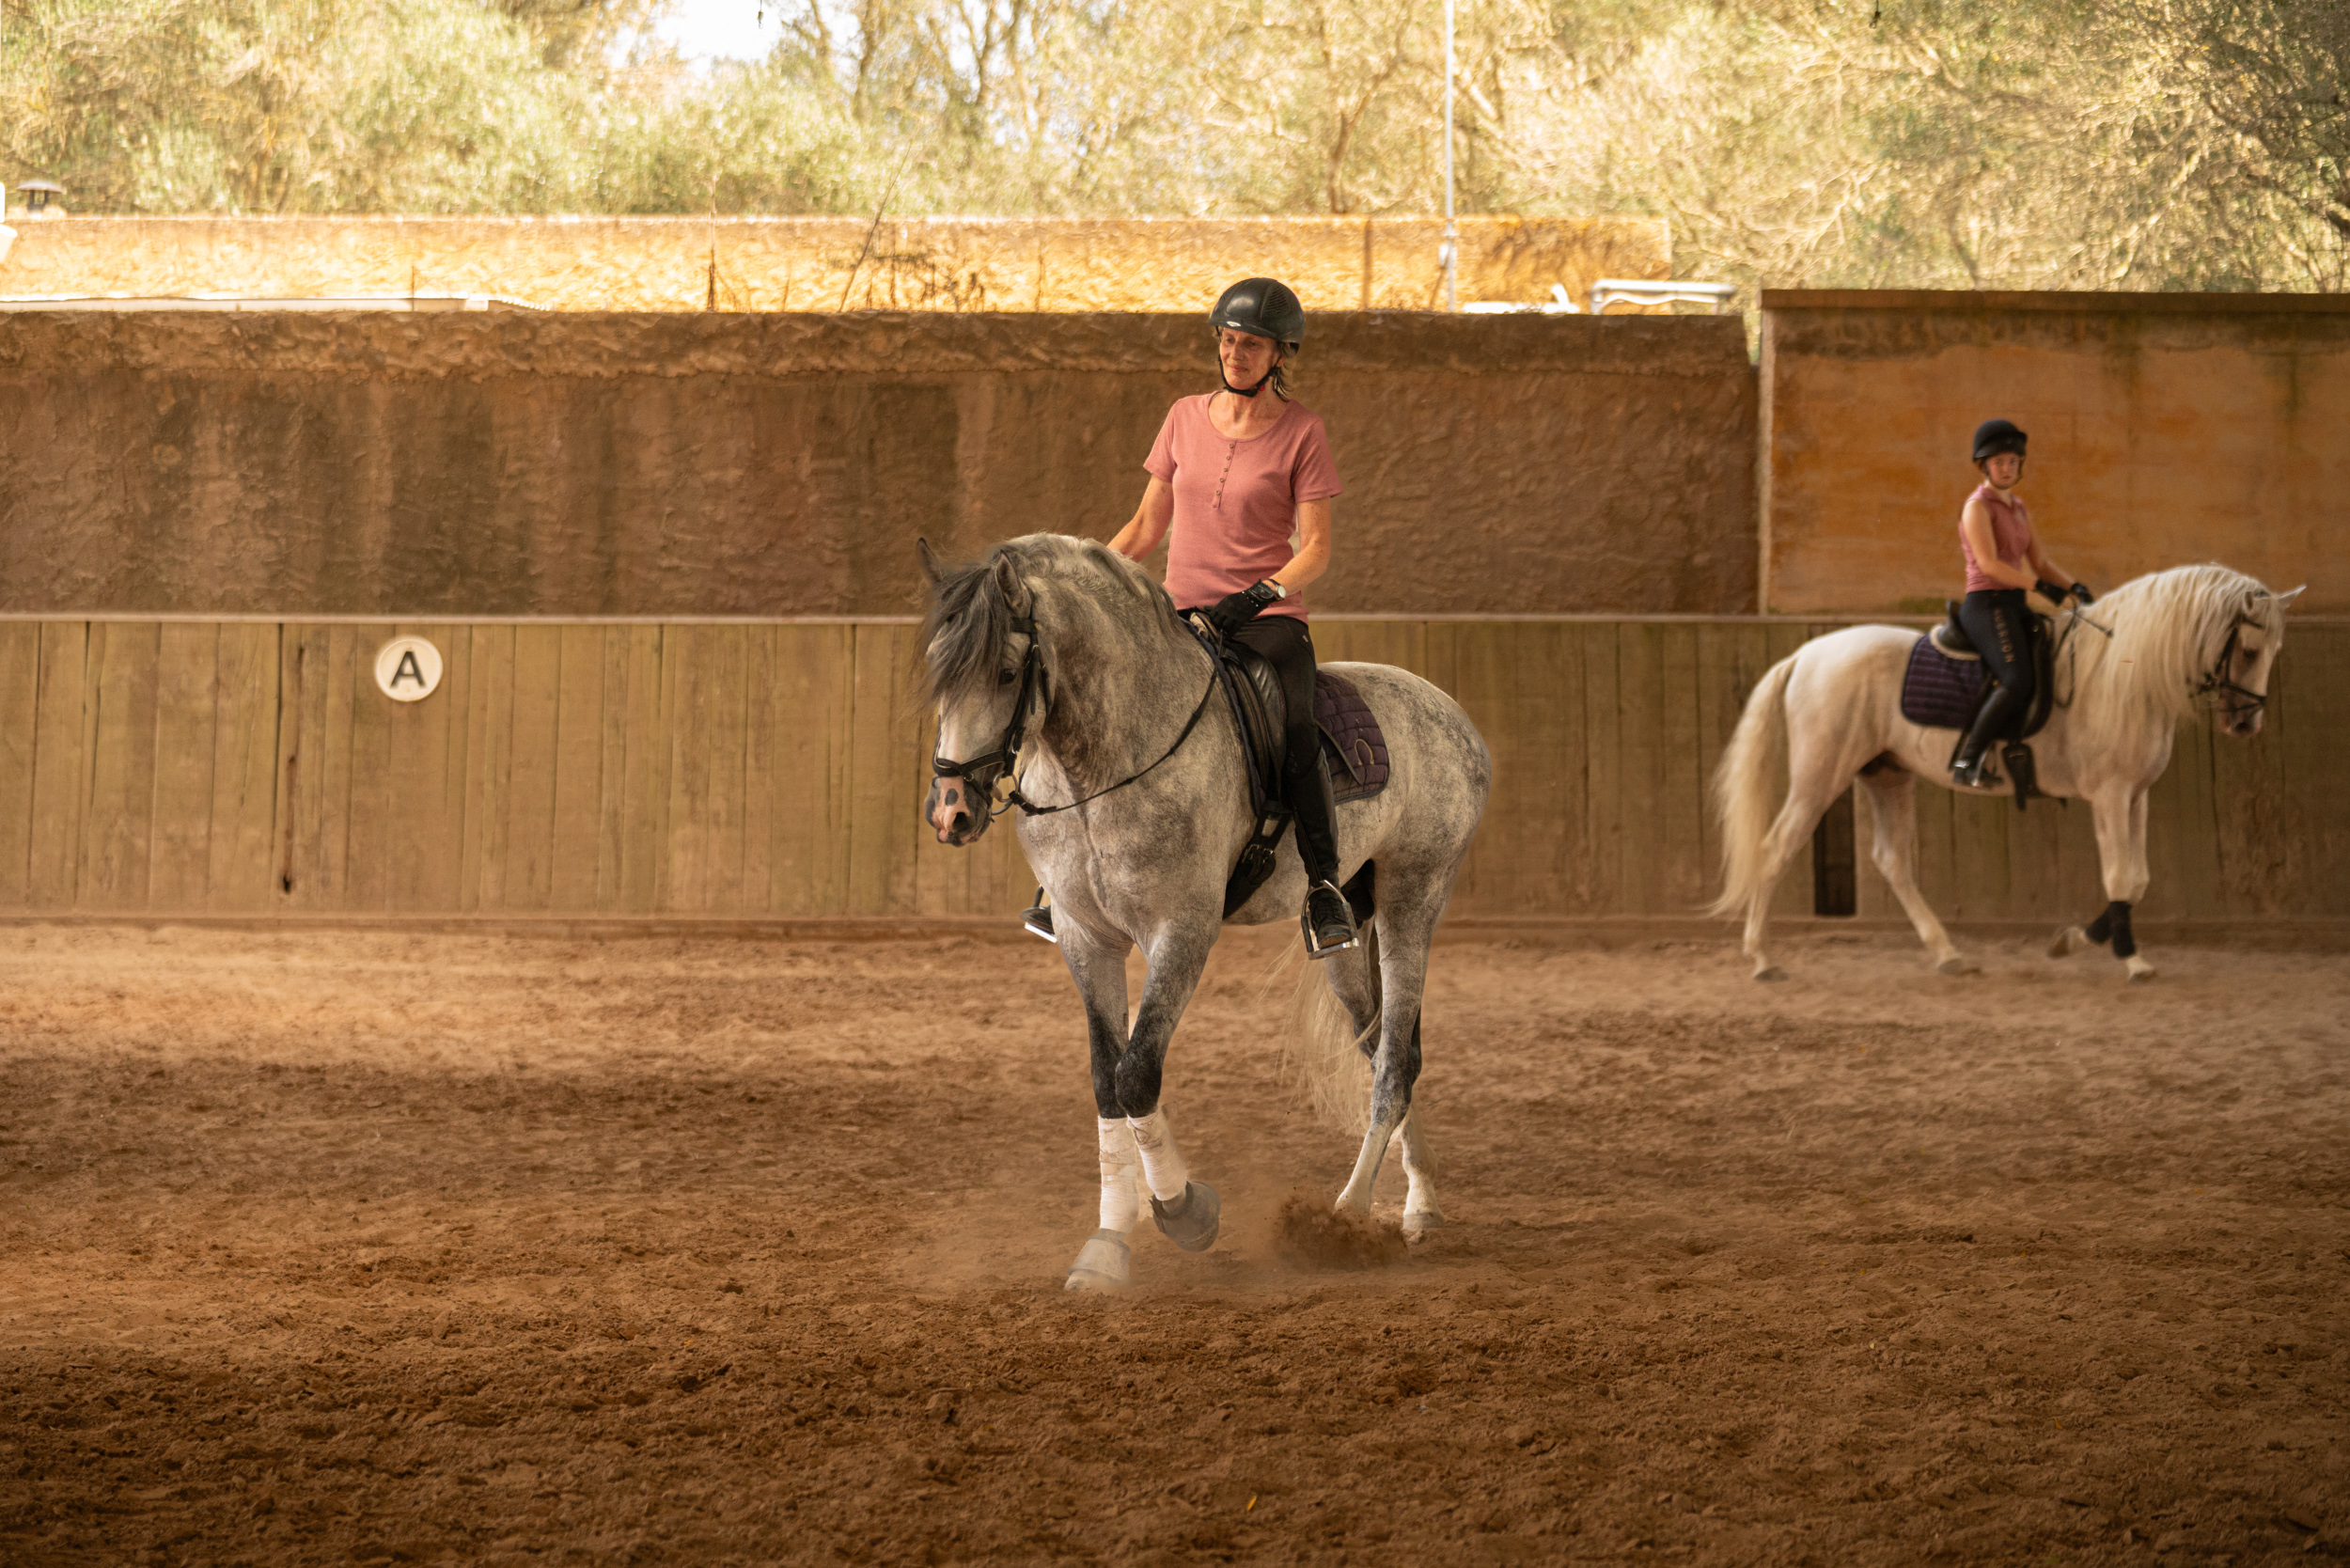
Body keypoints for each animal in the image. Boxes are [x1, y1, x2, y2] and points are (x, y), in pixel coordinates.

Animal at [916, 536, 1485, 1288]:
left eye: (1008, 672)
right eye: (936, 671)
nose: (951, 811)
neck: (1105, 763)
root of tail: (1447, 709)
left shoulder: (1180, 932)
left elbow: (1137, 1074)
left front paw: (1186, 1213)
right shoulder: (1084, 937)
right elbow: (1107, 1081)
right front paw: (1109, 1244)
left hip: (1412, 898)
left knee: (1394, 1061)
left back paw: (1347, 1214)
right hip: (1346, 931)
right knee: (1382, 1047)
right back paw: (1420, 1204)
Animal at [1711, 564, 2294, 982]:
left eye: (2273, 650)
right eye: (2248, 650)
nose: (2248, 722)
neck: (2123, 675)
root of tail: (1807, 654)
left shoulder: (2137, 795)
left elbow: (2140, 879)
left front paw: (2076, 940)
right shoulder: (2109, 794)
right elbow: (2120, 876)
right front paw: (2130, 959)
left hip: (1887, 775)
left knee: (1892, 860)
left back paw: (1950, 955)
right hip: (1820, 776)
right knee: (1777, 847)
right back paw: (1762, 959)